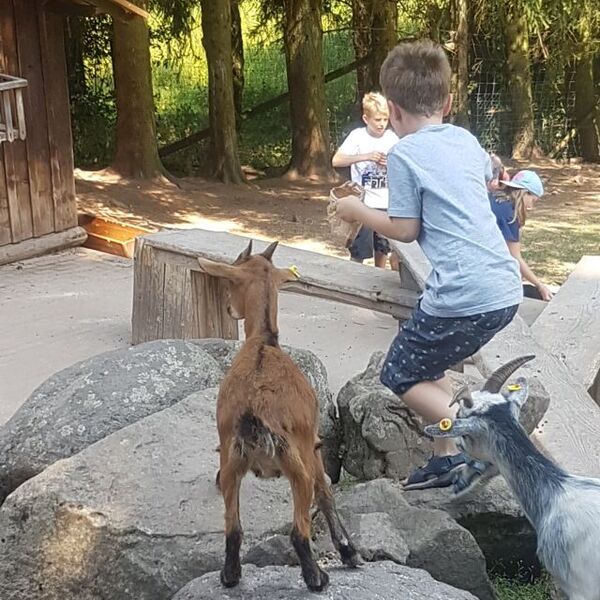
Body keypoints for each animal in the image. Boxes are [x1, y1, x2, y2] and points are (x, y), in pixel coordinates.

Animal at [197, 239, 358, 592]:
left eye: (232, 281)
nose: (229, 309)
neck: (264, 341)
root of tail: (253, 411)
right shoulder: (312, 444)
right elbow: (326, 492)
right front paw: (348, 551)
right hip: (295, 465)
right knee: (299, 530)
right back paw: (316, 578)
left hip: (232, 461)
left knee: (234, 528)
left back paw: (230, 575)